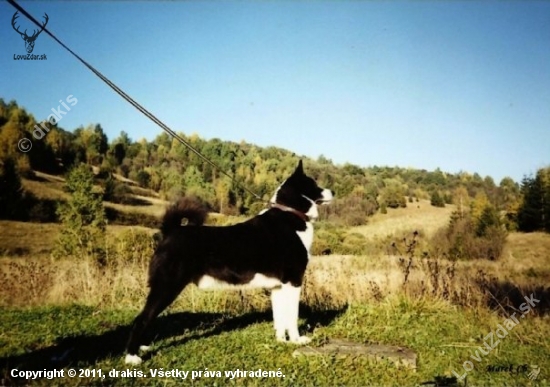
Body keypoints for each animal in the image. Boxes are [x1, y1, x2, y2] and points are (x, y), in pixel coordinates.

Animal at [126, 160, 332, 364]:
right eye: (314, 185)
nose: (333, 192)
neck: (289, 214)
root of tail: (171, 232)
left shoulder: (278, 286)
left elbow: (280, 319)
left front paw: (282, 341)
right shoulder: (293, 281)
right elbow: (292, 316)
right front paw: (297, 340)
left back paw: (143, 347)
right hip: (167, 287)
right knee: (141, 320)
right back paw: (132, 357)